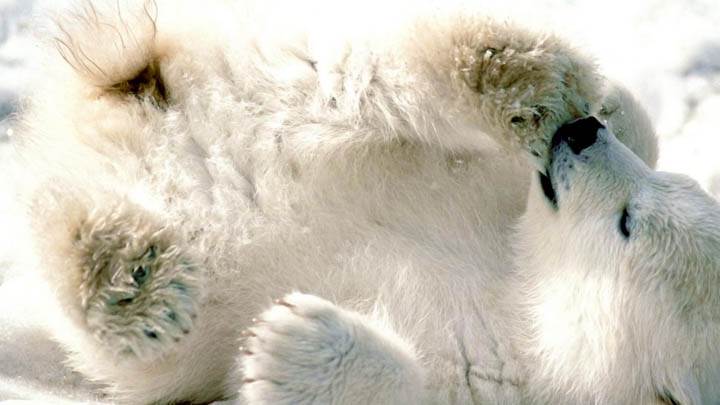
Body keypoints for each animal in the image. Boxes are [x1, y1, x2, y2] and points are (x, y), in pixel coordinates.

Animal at [17, 0, 714, 403]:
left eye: (628, 224)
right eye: (660, 196)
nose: (580, 134)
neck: (520, 293)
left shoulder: (492, 377)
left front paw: (288, 347)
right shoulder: (499, 199)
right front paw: (606, 102)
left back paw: (127, 275)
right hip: (273, 83)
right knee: (357, 75)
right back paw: (519, 75)